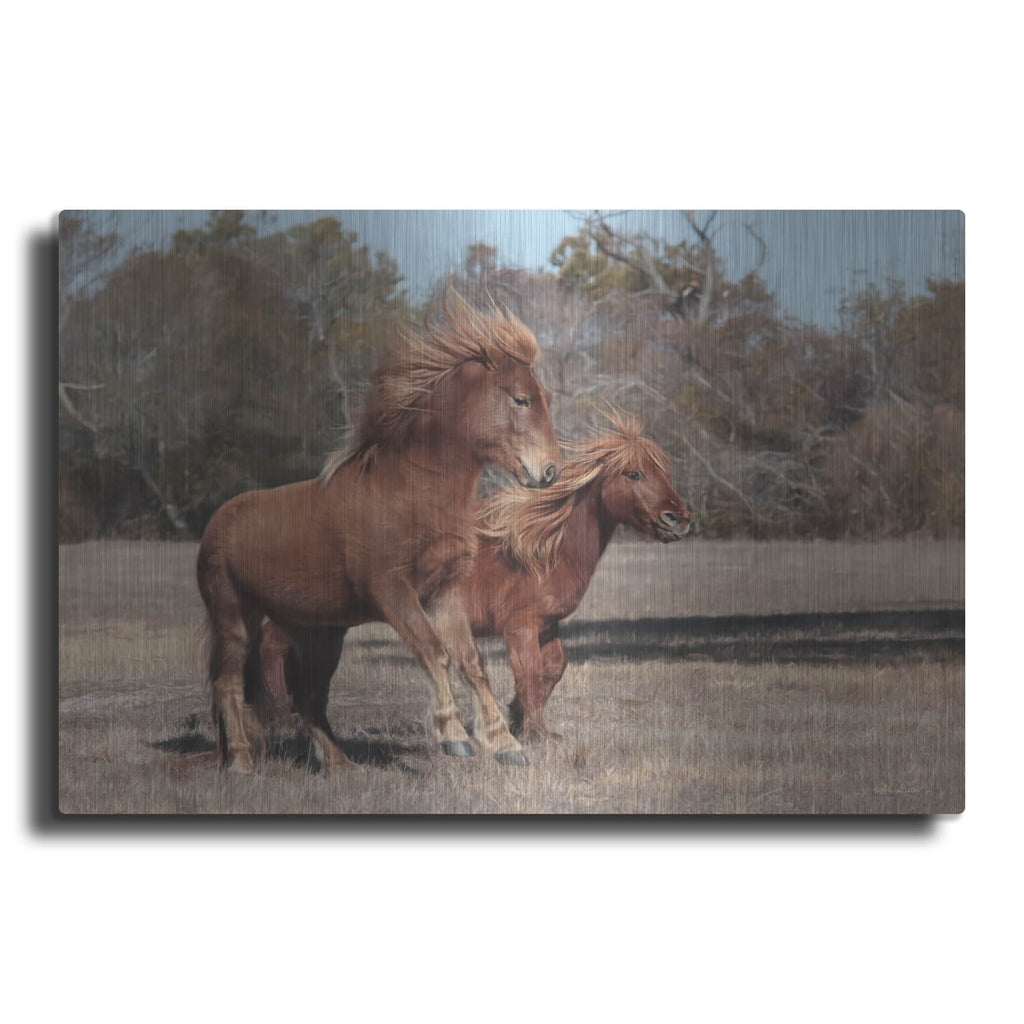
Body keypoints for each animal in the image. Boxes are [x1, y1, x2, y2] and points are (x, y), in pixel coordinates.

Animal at [196, 291, 561, 772]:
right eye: (521, 400)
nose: (550, 471)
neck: (408, 491)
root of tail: (216, 524)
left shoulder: (445, 593)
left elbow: (470, 661)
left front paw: (504, 745)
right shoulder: (392, 591)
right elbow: (433, 651)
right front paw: (454, 737)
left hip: (319, 632)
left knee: (307, 698)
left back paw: (340, 765)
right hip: (235, 618)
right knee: (229, 683)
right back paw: (240, 761)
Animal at [462, 411, 691, 742]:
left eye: (663, 472)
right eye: (634, 474)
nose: (680, 519)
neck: (543, 551)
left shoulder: (547, 625)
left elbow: (553, 668)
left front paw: (521, 720)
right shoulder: (520, 627)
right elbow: (529, 673)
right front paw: (536, 734)